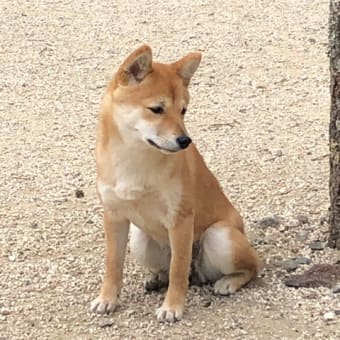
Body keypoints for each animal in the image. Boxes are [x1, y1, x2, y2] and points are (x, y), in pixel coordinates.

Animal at [90, 45, 260, 324]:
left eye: (183, 110)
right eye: (156, 109)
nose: (184, 140)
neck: (134, 158)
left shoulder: (180, 218)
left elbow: (178, 272)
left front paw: (172, 307)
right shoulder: (114, 216)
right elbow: (113, 265)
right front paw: (107, 299)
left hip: (220, 236)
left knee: (253, 265)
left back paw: (228, 282)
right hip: (140, 239)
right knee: (167, 268)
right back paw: (156, 278)